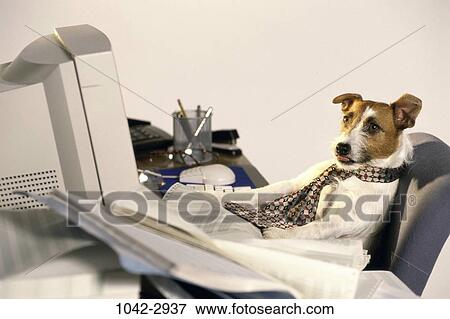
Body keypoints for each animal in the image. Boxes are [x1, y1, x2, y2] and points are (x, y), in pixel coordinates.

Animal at [256, 94, 422, 246]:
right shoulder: (297, 183)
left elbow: (311, 229)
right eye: (346, 119)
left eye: (374, 127)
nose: (341, 147)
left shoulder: (336, 223)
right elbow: (268, 190)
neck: (351, 174)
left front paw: (278, 232)